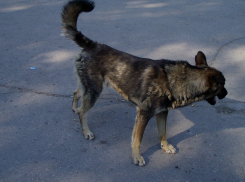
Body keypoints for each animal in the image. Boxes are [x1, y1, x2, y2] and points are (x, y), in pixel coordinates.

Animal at [60, 0, 228, 166]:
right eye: (223, 85)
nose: (226, 93)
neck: (175, 80)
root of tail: (92, 44)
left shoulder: (162, 113)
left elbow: (163, 133)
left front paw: (165, 147)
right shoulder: (143, 114)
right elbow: (137, 139)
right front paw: (136, 157)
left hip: (89, 86)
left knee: (77, 92)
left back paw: (75, 107)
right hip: (94, 91)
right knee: (83, 112)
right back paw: (86, 131)